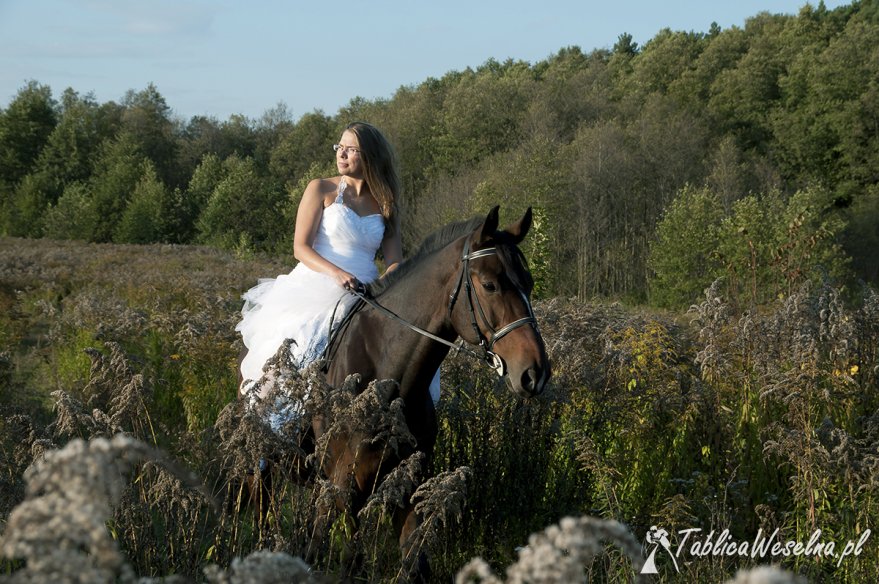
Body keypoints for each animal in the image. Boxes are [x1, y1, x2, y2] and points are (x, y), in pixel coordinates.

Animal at [237, 205, 552, 580]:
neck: (389, 378)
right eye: (490, 285)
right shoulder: (346, 486)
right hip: (265, 459)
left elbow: (412, 561)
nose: (535, 373)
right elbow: (348, 560)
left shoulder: (407, 484)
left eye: (529, 284)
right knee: (263, 505)